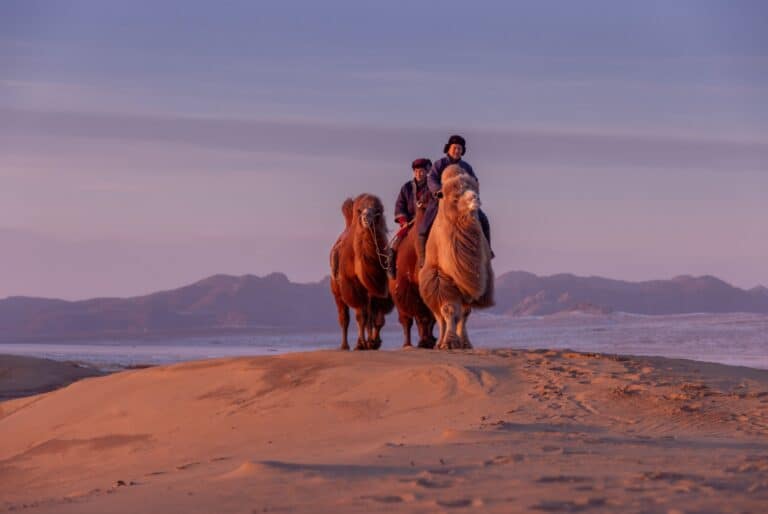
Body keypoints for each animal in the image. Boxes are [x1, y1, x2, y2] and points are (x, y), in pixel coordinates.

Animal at [328, 194, 392, 350]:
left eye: (376, 211)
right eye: (360, 210)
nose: (365, 218)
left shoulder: (377, 284)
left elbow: (376, 317)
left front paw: (374, 342)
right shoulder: (354, 286)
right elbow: (361, 317)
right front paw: (362, 343)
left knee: (369, 315)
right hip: (336, 290)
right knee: (345, 317)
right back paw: (345, 345)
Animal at [388, 202, 436, 346]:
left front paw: (429, 340)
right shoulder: (407, 290)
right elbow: (420, 316)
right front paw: (425, 341)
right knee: (407, 319)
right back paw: (408, 344)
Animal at [416, 166, 496, 350]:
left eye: (475, 189)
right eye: (455, 197)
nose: (475, 198)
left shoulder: (470, 284)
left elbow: (464, 313)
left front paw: (464, 343)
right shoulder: (441, 278)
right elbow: (449, 309)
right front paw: (450, 343)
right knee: (439, 317)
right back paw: (439, 343)